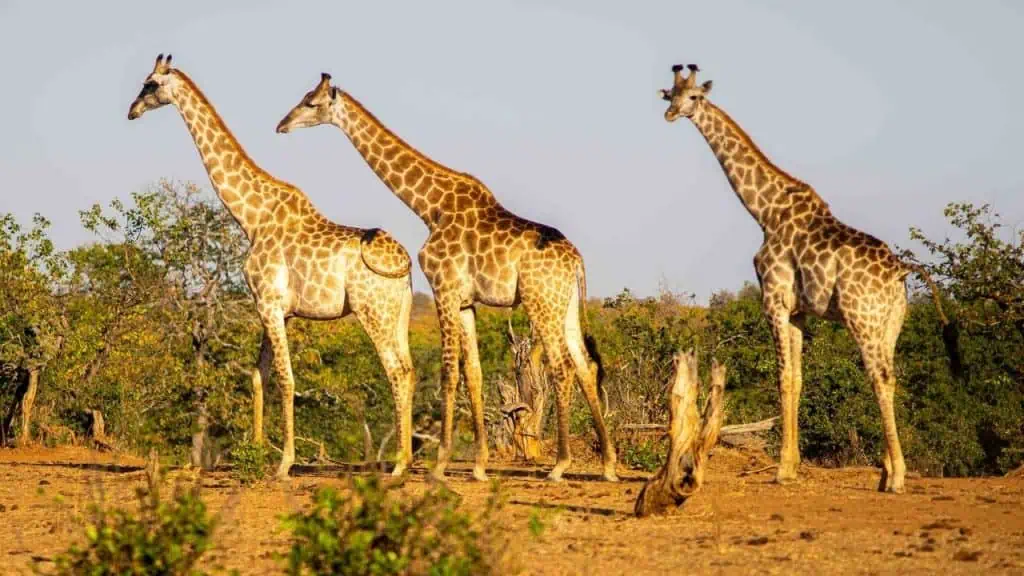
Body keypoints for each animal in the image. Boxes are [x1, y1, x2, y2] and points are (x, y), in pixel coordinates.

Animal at [127, 55, 418, 480]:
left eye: (150, 84)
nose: (131, 111)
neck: (252, 217)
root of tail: (405, 266)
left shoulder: (269, 304)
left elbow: (286, 378)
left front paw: (283, 463)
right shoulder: (274, 309)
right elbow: (257, 376)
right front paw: (254, 453)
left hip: (371, 311)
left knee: (395, 371)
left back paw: (398, 466)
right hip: (398, 314)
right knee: (410, 370)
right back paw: (407, 460)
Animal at [275, 73, 618, 483]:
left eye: (311, 103)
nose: (281, 125)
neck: (430, 207)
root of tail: (577, 260)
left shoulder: (443, 287)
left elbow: (448, 372)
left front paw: (439, 464)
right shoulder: (466, 301)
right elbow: (474, 373)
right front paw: (480, 466)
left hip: (541, 302)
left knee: (562, 366)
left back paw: (560, 465)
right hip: (564, 305)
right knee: (586, 365)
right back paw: (609, 464)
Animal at [659, 64, 959, 493]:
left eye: (695, 97)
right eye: (671, 94)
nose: (671, 113)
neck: (765, 212)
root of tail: (902, 270)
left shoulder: (774, 300)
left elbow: (783, 377)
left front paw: (783, 469)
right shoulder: (799, 312)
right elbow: (799, 378)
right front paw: (793, 463)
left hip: (862, 319)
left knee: (880, 377)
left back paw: (898, 476)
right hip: (891, 323)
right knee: (892, 377)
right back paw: (885, 472)